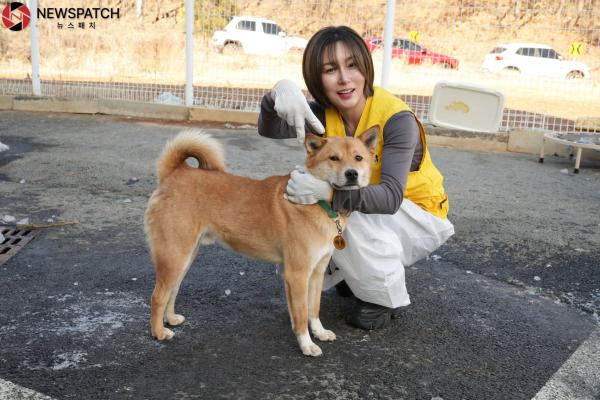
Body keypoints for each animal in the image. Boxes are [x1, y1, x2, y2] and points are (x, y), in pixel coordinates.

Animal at [144, 129, 376, 356]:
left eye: (358, 158)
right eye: (333, 158)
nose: (352, 173)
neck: (316, 203)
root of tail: (174, 173)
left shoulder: (317, 272)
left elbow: (313, 309)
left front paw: (319, 332)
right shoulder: (297, 274)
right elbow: (301, 316)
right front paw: (307, 345)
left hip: (184, 257)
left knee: (172, 290)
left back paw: (170, 319)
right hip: (174, 255)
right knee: (158, 295)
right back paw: (158, 332)